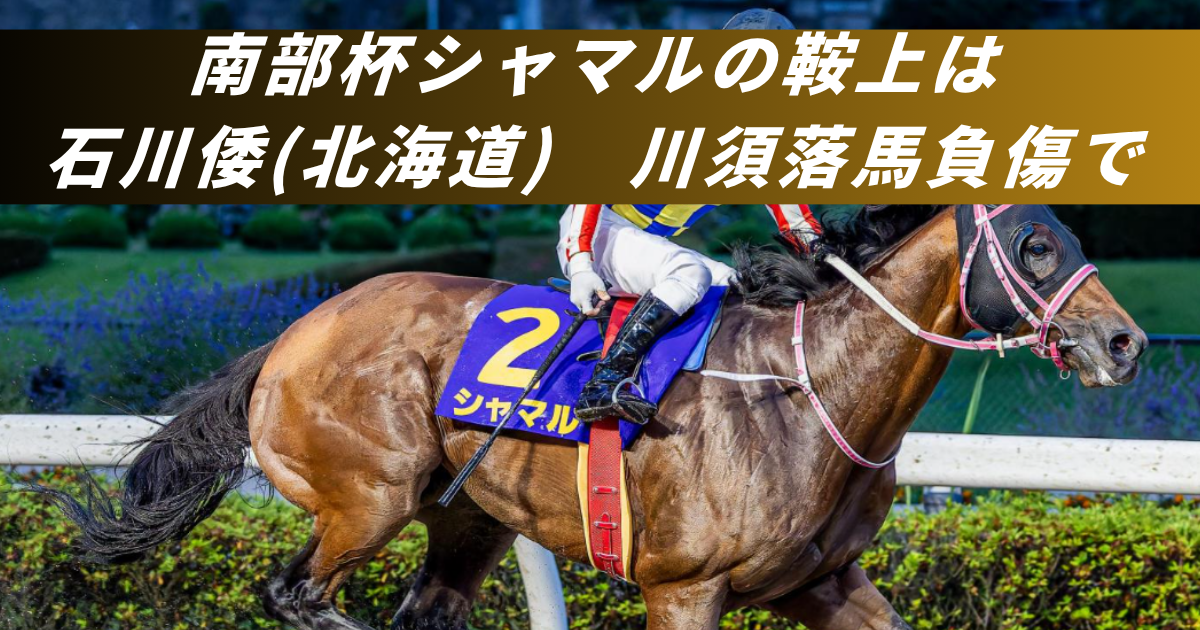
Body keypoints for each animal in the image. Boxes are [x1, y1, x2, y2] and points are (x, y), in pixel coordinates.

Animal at [35, 204, 1145, 630]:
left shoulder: (824, 583)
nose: (1124, 341)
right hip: (367, 497)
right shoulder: (685, 587)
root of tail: (290, 337)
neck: (810, 389)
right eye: (1036, 244)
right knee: (297, 593)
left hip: (466, 518)